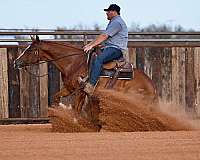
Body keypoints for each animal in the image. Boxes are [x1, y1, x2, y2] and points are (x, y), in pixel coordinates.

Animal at [13, 36, 158, 131]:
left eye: (30, 50)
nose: (16, 62)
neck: (74, 63)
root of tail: (152, 86)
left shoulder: (80, 91)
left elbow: (76, 108)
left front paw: (74, 123)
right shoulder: (69, 88)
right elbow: (56, 97)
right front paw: (60, 111)